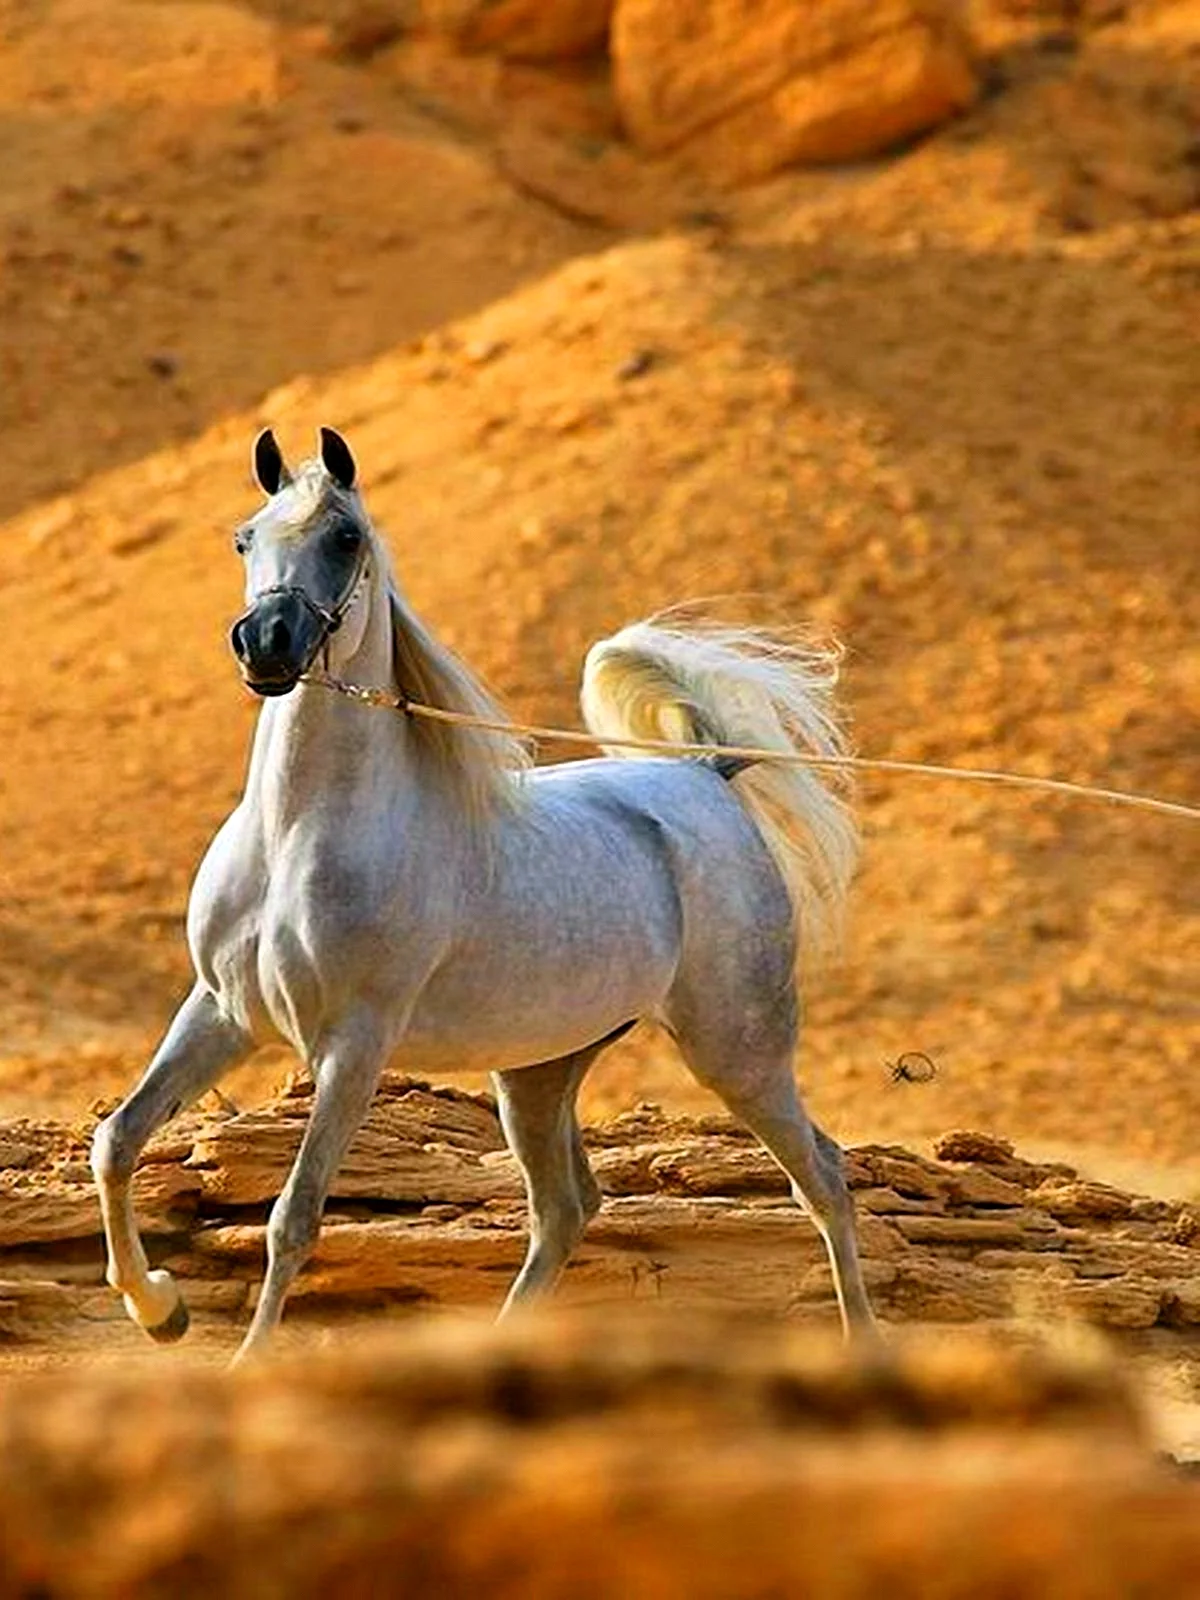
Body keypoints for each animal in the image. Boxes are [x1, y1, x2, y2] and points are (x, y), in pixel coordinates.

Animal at [91, 428, 876, 1363]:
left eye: (346, 537)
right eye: (245, 539)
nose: (266, 644)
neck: (296, 837)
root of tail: (705, 776)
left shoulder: (353, 1046)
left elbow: (294, 1217)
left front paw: (240, 1358)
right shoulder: (221, 1010)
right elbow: (118, 1140)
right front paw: (159, 1309)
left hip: (738, 1050)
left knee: (823, 1174)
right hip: (539, 1070)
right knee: (566, 1210)